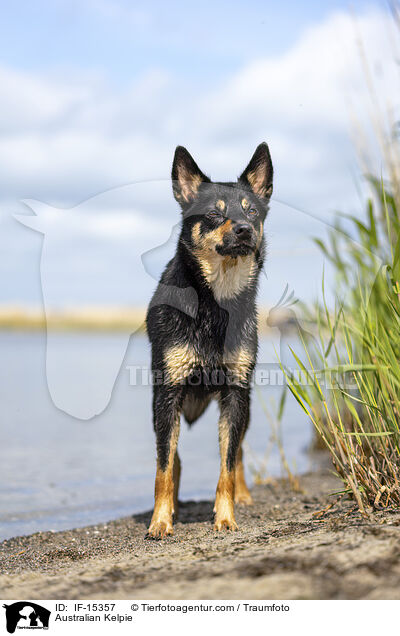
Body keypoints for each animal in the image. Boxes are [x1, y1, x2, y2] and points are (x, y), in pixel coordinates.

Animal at [145, 143, 274, 536]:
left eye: (251, 210)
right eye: (215, 214)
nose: (245, 229)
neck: (215, 301)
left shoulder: (235, 392)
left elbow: (227, 465)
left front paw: (226, 516)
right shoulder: (167, 392)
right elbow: (164, 467)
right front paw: (160, 520)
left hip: (243, 405)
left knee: (238, 452)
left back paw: (243, 496)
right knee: (173, 458)